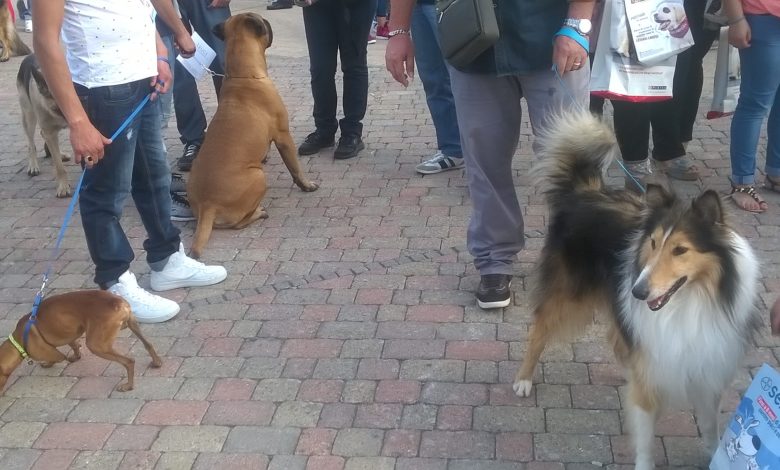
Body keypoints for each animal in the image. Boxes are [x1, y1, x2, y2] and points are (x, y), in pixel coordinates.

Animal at [0, 290, 162, 394]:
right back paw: (157, 362)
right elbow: (74, 346)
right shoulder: (71, 335)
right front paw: (75, 357)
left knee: (129, 361)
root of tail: (117, 302)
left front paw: (50, 363)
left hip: (96, 345)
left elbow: (56, 357)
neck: (18, 341)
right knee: (148, 344)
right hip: (133, 324)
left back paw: (128, 386)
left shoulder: (45, 349)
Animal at [17, 54, 72, 197]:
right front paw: (63, 187)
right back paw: (33, 165)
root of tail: (29, 55)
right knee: (31, 144)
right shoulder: (50, 132)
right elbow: (59, 167)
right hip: (29, 117)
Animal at [187, 13, 319, 259]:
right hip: (259, 176)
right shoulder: (283, 136)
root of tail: (208, 205)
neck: (243, 75)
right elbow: (295, 168)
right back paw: (259, 212)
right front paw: (306, 185)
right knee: (239, 223)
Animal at [512, 112, 761, 470]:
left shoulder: (706, 368)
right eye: (653, 243)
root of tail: (584, 191)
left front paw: (717, 456)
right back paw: (523, 379)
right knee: (538, 330)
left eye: (680, 250)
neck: (691, 301)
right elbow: (644, 438)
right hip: (567, 294)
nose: (638, 292)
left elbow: (711, 428)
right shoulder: (652, 374)